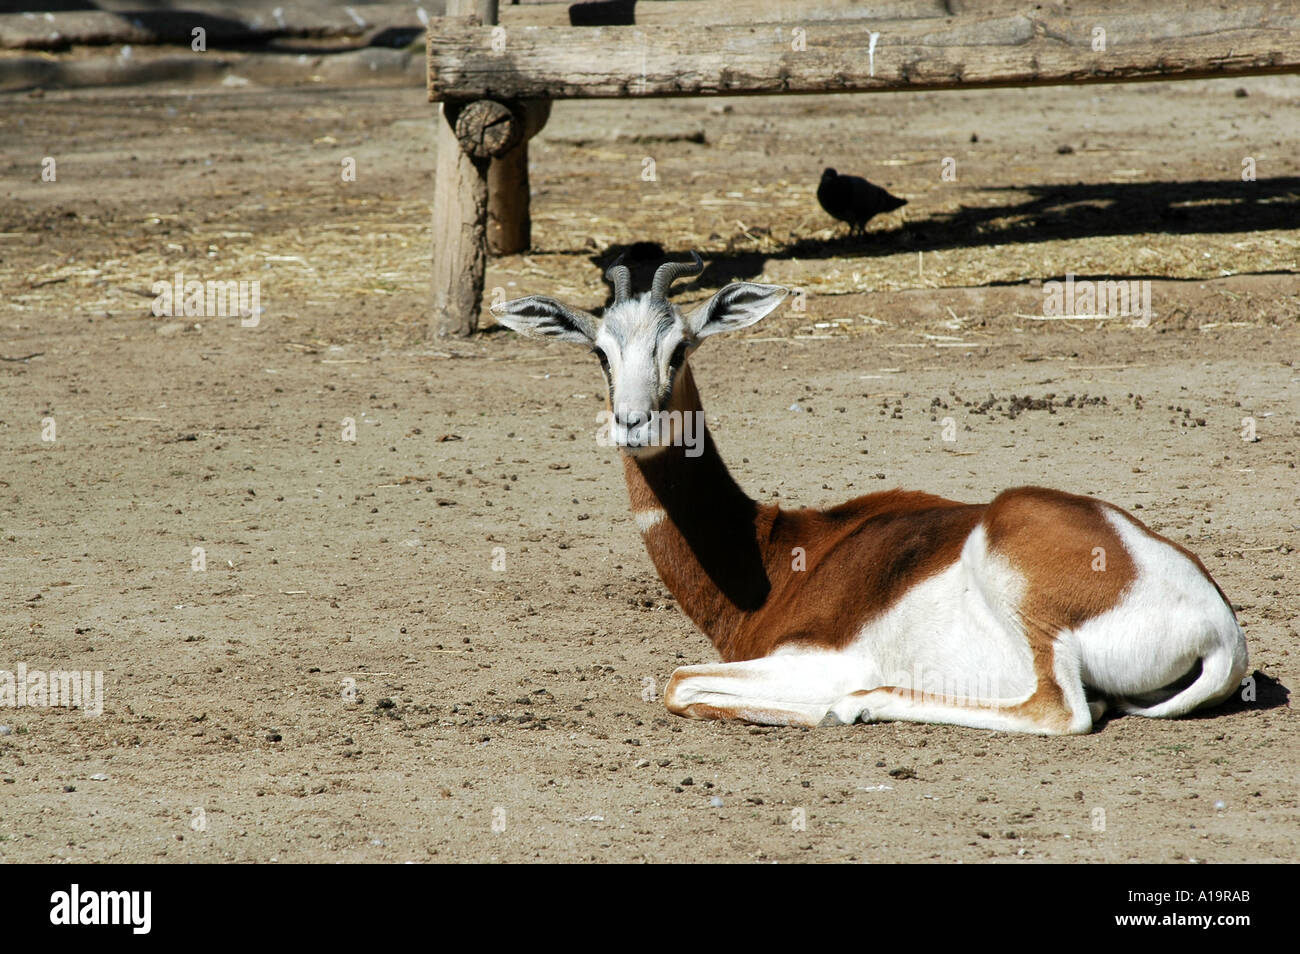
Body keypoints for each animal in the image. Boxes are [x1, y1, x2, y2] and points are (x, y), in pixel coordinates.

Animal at [490, 253, 1249, 734]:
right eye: (600, 352)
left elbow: (679, 683)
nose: (633, 423)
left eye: (679, 348)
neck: (772, 556)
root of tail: (1220, 626)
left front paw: (824, 707)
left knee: (1062, 711)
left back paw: (856, 702)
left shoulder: (808, 657)